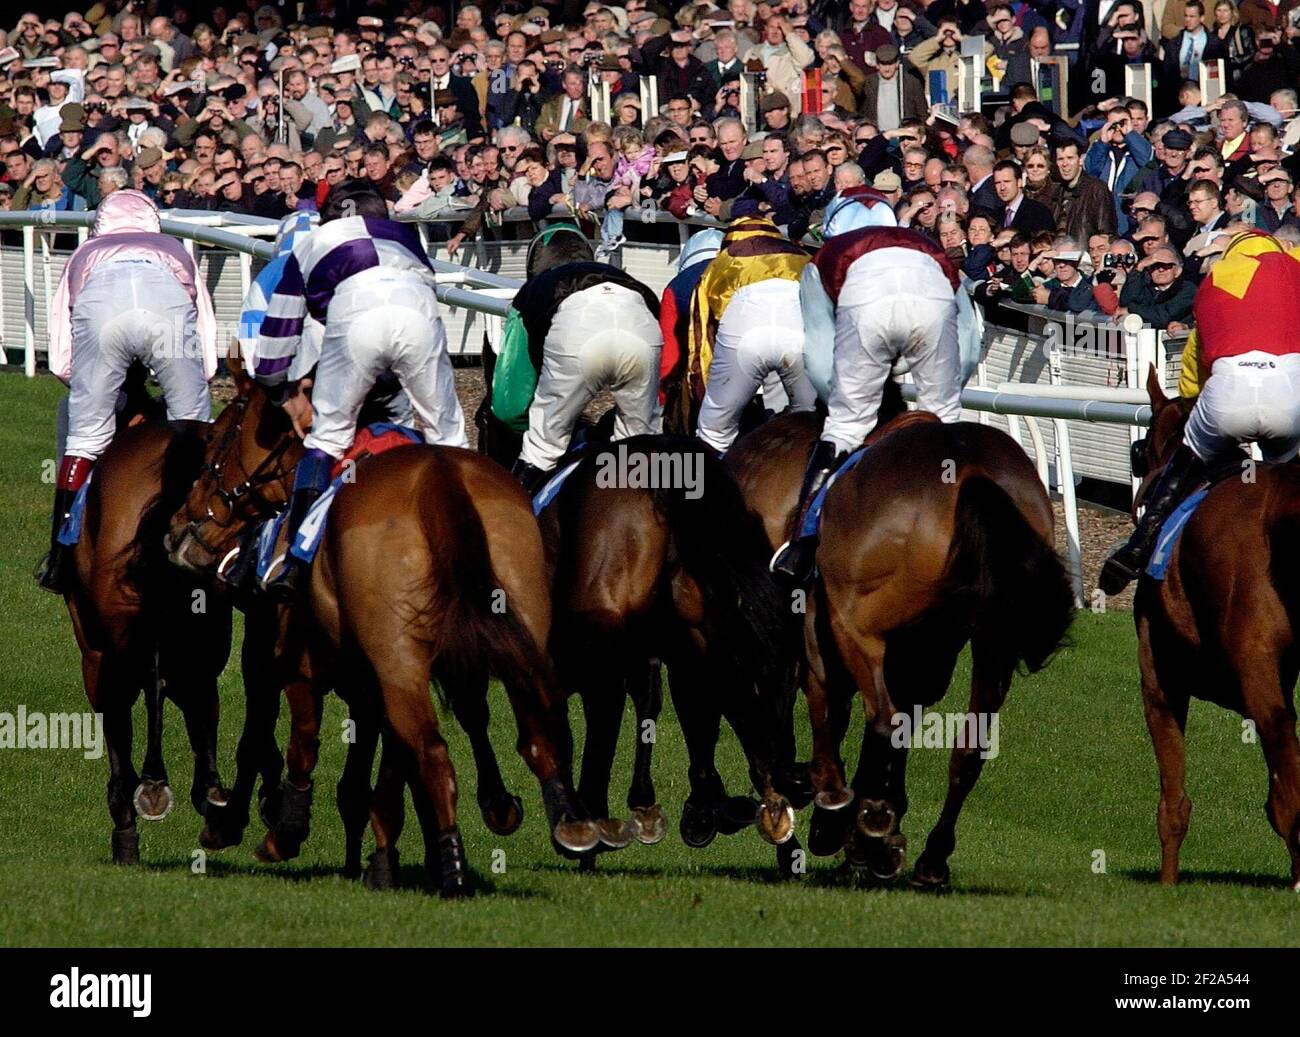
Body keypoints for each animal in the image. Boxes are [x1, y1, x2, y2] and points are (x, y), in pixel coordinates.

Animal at [166, 358, 603, 894]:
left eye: (216, 440)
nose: (178, 529)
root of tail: (441, 481)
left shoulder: (300, 661)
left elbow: (298, 742)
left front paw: (278, 829)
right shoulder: (381, 676)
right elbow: (391, 762)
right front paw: (382, 855)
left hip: (398, 658)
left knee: (434, 752)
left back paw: (454, 868)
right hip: (514, 624)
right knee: (535, 727)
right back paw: (565, 821)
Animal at [728, 410, 1071, 888]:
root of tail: (970, 471)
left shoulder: (815, 631)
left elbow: (830, 711)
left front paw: (839, 821)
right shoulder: (925, 655)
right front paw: (869, 833)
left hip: (858, 622)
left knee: (882, 718)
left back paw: (857, 818)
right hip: (991, 640)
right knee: (967, 748)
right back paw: (929, 855)